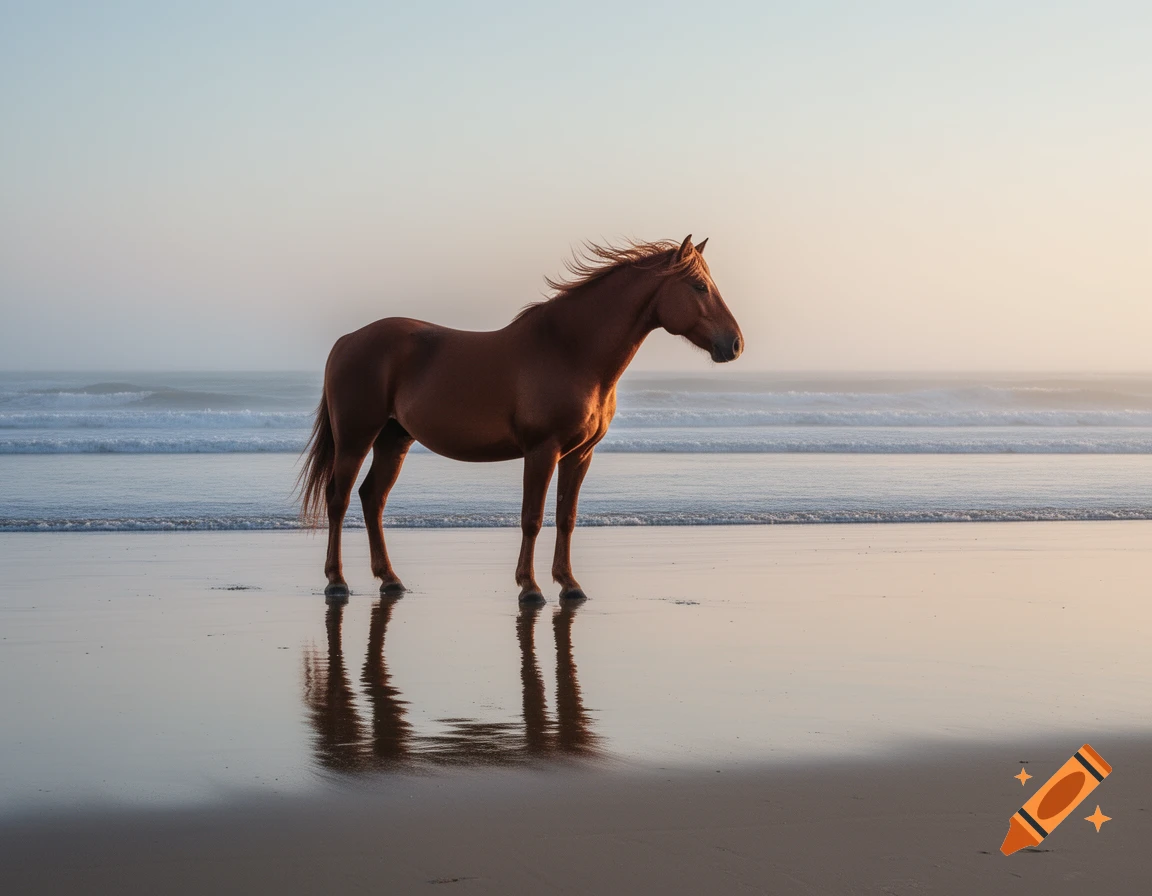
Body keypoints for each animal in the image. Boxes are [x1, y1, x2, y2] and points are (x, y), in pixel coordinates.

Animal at [298, 235, 744, 602]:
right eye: (699, 286)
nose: (735, 344)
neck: (571, 351)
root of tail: (347, 340)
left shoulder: (579, 455)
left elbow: (566, 517)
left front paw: (569, 584)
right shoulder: (542, 450)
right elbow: (532, 518)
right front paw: (529, 587)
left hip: (394, 440)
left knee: (373, 498)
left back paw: (390, 579)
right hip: (356, 439)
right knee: (338, 500)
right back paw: (336, 581)